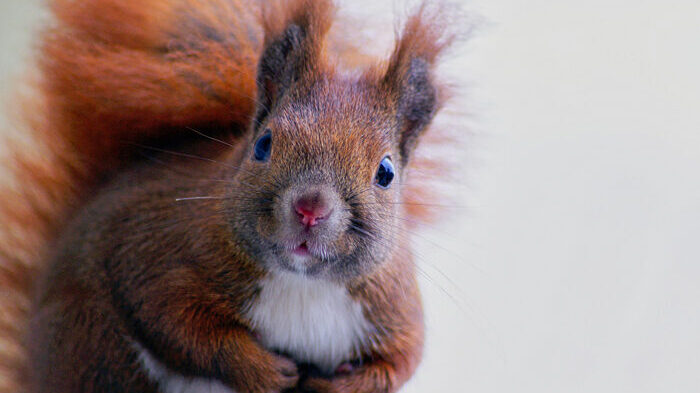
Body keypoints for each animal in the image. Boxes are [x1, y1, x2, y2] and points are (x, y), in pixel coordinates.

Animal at [0, 0, 460, 392]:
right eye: (263, 144)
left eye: (386, 173)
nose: (310, 209)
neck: (301, 283)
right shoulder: (158, 256)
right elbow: (179, 325)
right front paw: (264, 371)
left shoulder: (393, 312)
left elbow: (398, 363)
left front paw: (341, 385)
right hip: (94, 348)